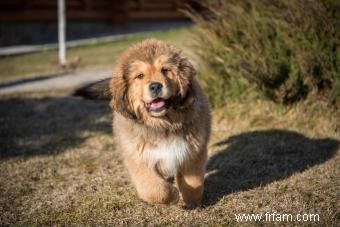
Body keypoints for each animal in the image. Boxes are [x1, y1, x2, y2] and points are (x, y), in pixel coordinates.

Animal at [75, 39, 211, 207]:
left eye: (165, 70)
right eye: (140, 76)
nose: (155, 86)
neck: (162, 125)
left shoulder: (193, 152)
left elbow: (193, 182)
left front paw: (192, 201)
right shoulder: (138, 159)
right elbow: (154, 189)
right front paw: (172, 194)